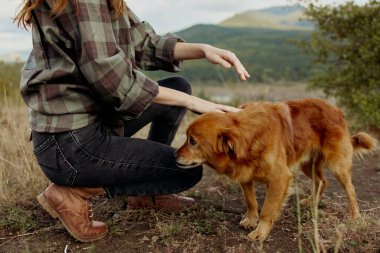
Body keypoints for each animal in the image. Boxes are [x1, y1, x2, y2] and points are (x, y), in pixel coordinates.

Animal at [175, 98, 378, 241]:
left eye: (192, 141)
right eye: (187, 138)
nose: (174, 156)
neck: (250, 135)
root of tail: (337, 110)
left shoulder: (279, 177)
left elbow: (267, 209)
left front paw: (260, 232)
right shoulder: (245, 175)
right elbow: (251, 201)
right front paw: (251, 220)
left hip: (337, 165)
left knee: (350, 189)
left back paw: (354, 215)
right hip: (306, 163)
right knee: (322, 181)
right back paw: (310, 202)